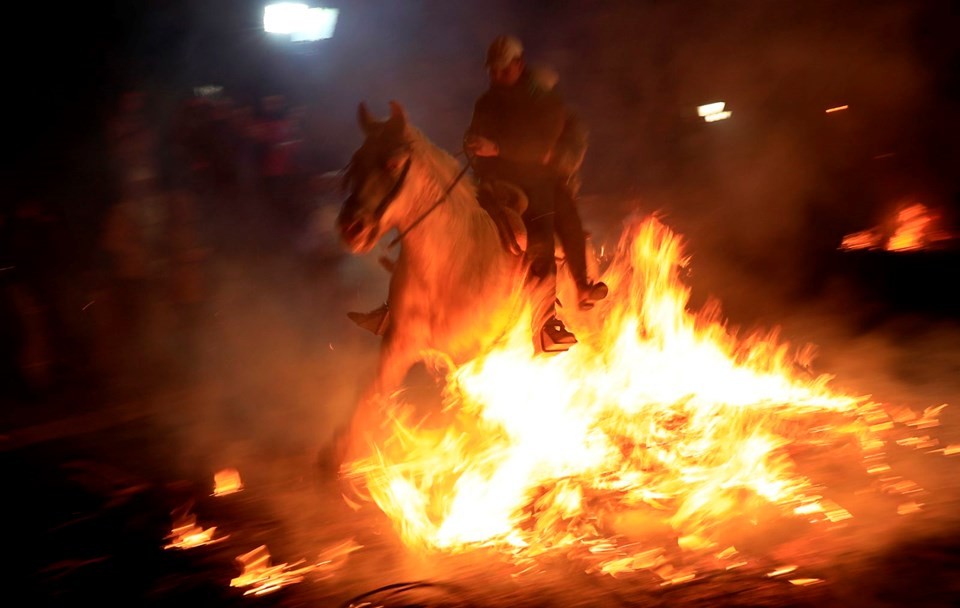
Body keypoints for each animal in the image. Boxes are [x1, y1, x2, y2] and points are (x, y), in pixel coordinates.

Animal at [336, 101, 536, 456]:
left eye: (393, 162)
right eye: (357, 160)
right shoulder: (399, 348)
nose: (351, 228)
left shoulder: (473, 357)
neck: (449, 269)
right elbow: (370, 401)